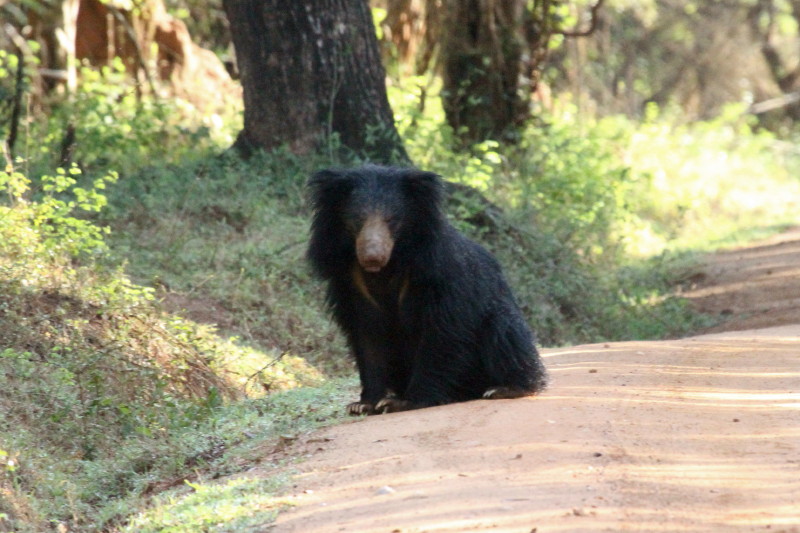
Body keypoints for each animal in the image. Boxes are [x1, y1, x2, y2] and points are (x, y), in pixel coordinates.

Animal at [306, 164, 544, 414]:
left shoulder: (439, 276)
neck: (390, 264)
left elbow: (442, 333)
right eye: (357, 218)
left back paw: (505, 388)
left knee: (504, 332)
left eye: (392, 219)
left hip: (500, 321)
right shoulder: (351, 284)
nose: (372, 257)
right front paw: (364, 404)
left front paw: (405, 401)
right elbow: (367, 335)